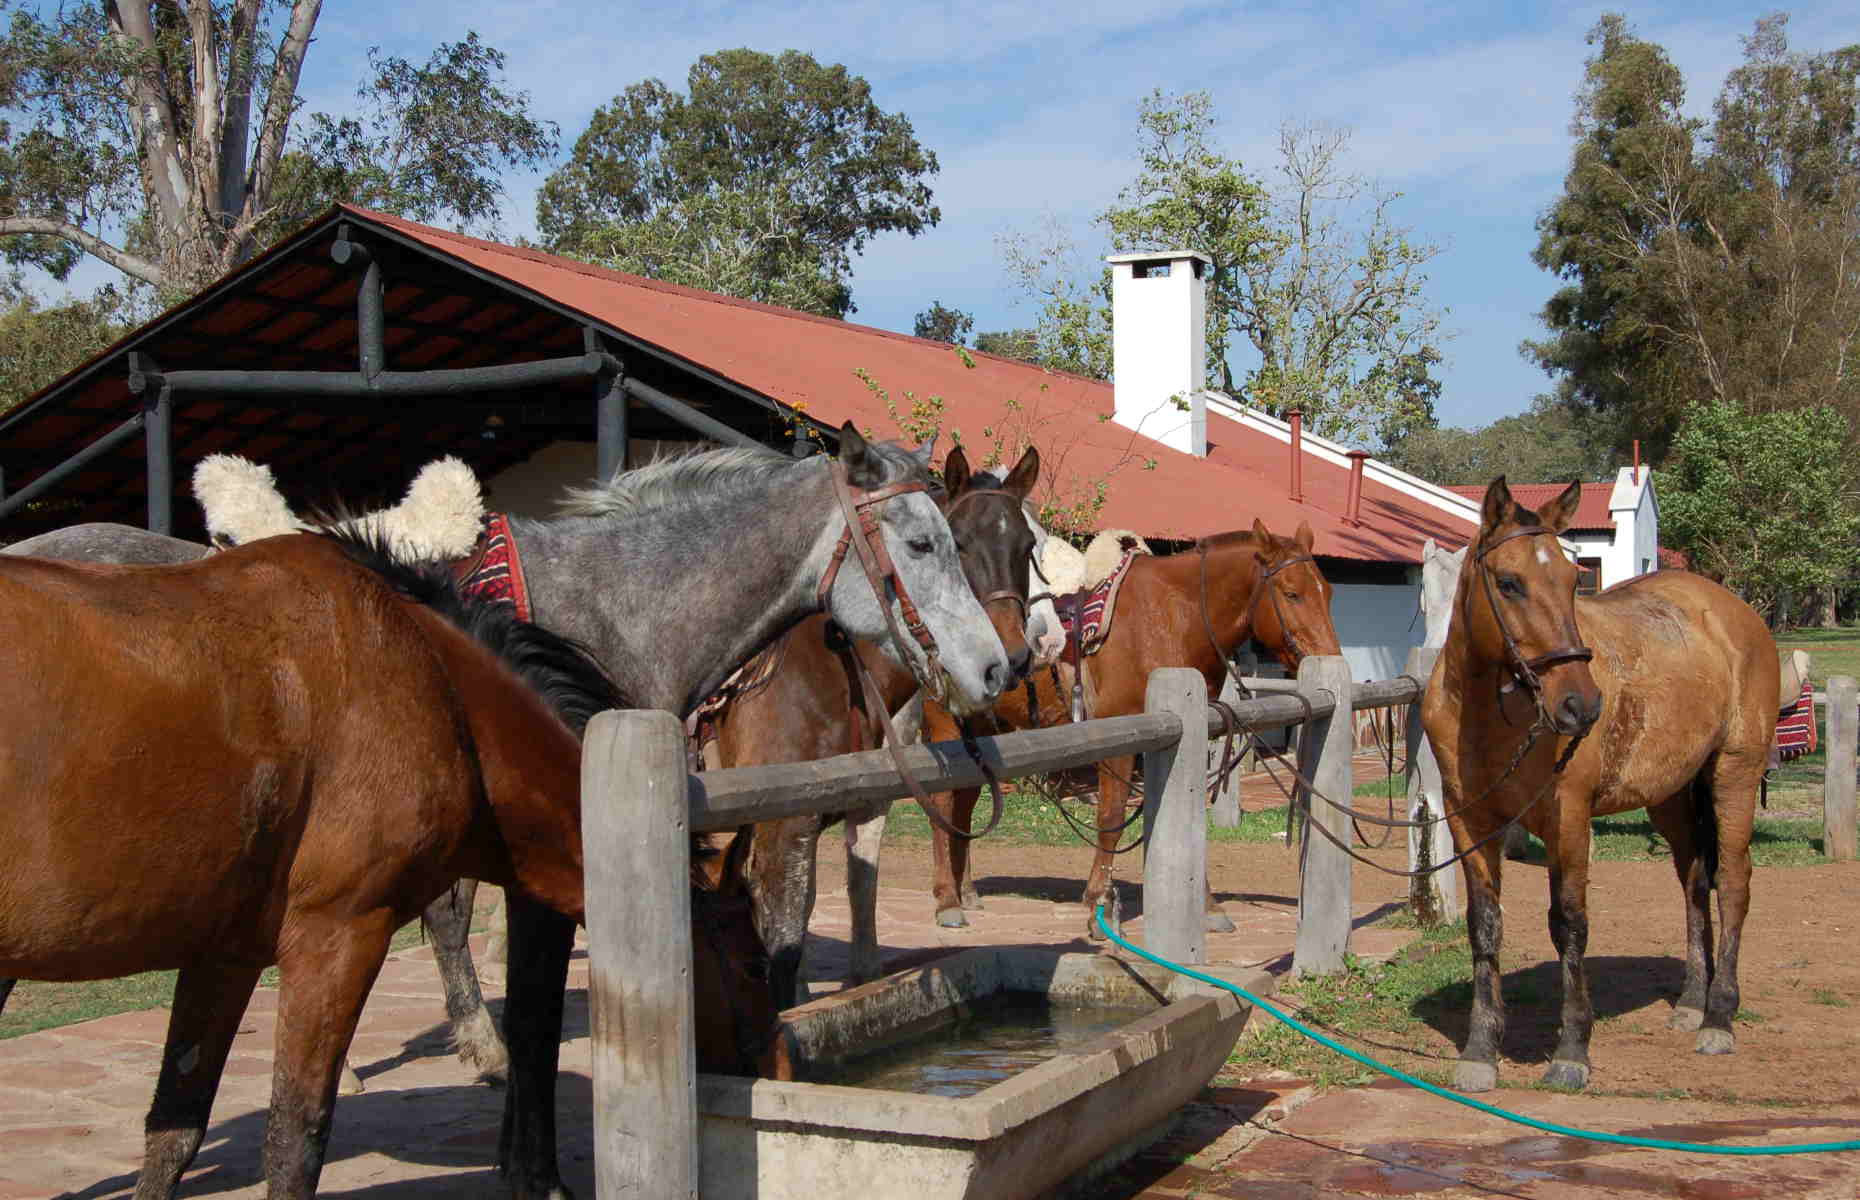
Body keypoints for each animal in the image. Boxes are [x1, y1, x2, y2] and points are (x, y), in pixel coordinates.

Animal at [0, 532, 777, 1198]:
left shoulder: (223, 955)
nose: (774, 1072)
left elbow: (173, 1132)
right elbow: (296, 1140)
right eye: (752, 966)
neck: (432, 681)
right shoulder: (338, 936)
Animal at [922, 513, 1346, 937]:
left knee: (964, 801)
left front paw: (1208, 907)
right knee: (942, 802)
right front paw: (1099, 905)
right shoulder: (1121, 740)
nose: (1331, 658)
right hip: (945, 724)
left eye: (1328, 593)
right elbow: (1111, 819)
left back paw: (966, 891)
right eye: (1291, 593)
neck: (1173, 619)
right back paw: (947, 900)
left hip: (981, 728)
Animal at [1421, 472, 1770, 1093]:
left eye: (1571, 578)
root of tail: (1735, 613)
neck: (1490, 716)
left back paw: (1719, 1017)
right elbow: (1485, 927)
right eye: (1509, 584)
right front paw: (1481, 1050)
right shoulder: (1471, 821)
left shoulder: (1569, 819)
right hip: (1671, 797)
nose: (1580, 706)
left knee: (1732, 882)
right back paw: (1692, 1001)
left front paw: (1571, 1050)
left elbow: (1569, 924)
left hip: (1734, 775)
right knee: (1694, 882)